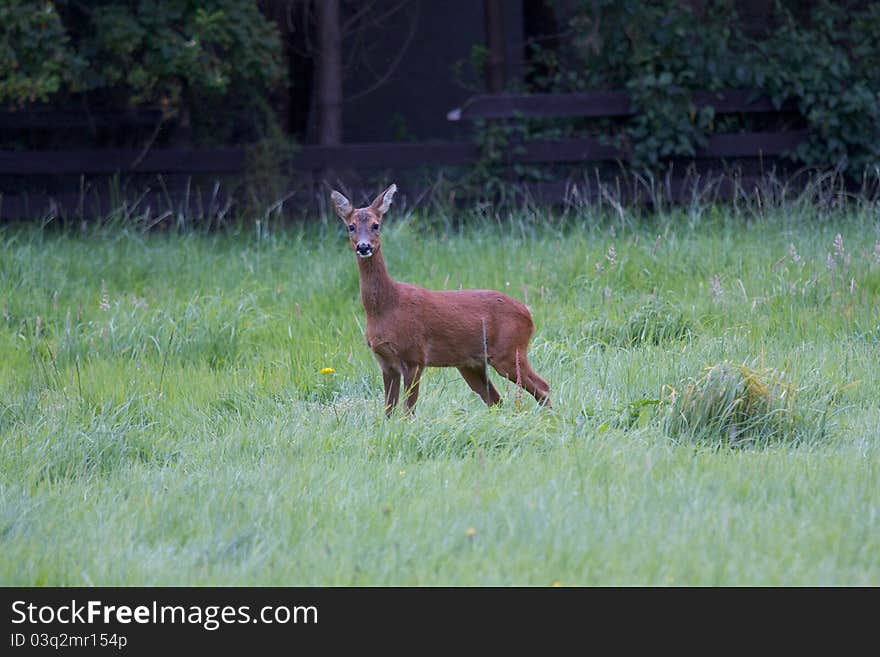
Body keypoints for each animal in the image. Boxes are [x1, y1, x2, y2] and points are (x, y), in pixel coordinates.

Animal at [330, 182, 552, 416]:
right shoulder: (385, 361)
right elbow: (388, 411)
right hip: (471, 364)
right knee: (497, 400)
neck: (386, 308)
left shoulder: (415, 356)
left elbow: (408, 412)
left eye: (376, 225)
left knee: (542, 386)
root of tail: (529, 314)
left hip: (509, 351)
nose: (364, 247)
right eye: (351, 226)